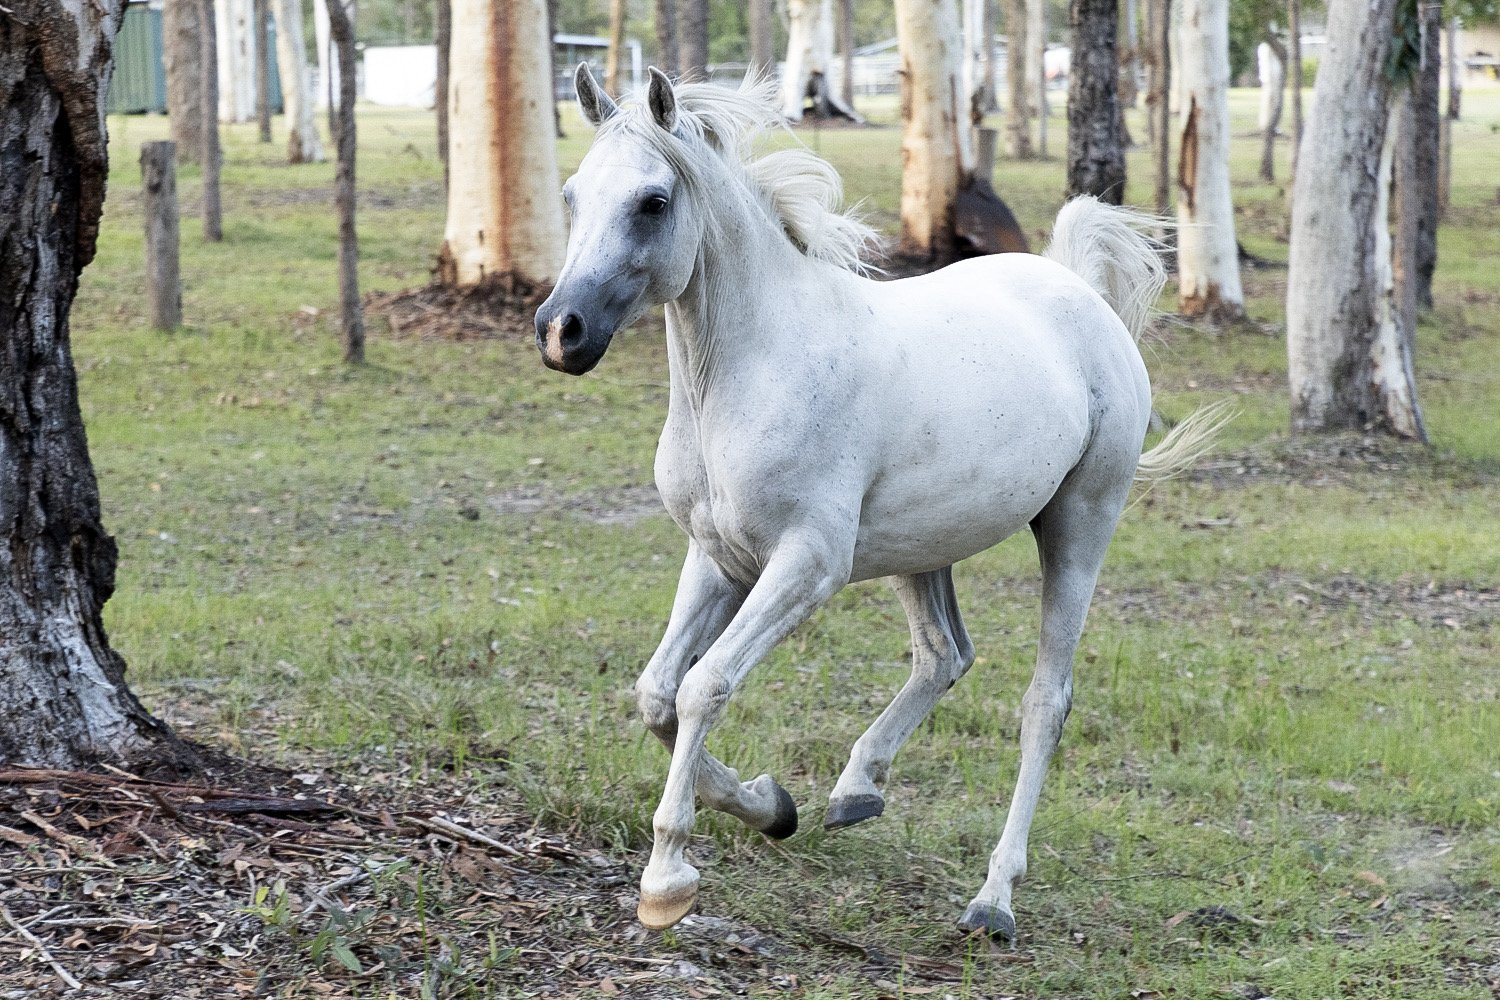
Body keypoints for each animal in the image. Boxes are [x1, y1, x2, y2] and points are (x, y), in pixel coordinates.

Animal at [535, 63, 1222, 940]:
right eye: (574, 193)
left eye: (653, 201)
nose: (561, 331)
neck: (752, 370)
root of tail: (1076, 288)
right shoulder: (717, 557)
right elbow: (658, 694)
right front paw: (770, 805)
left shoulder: (807, 565)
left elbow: (703, 686)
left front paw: (667, 879)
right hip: (923, 547)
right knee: (945, 655)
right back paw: (855, 790)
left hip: (1079, 526)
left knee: (1045, 702)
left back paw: (993, 899)